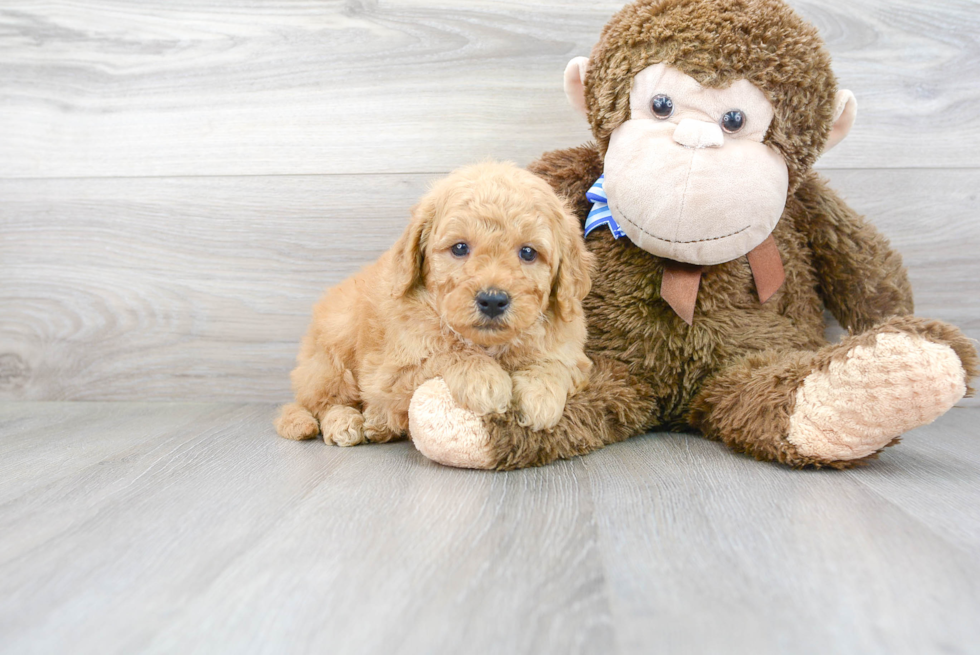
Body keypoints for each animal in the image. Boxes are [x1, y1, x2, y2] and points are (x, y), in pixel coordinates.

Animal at [280, 160, 592, 446]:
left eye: (528, 252)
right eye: (460, 248)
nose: (492, 300)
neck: (487, 345)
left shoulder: (575, 357)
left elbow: (555, 365)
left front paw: (540, 396)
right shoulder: (387, 375)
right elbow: (446, 353)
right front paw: (485, 379)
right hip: (331, 353)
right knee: (323, 402)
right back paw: (346, 423)